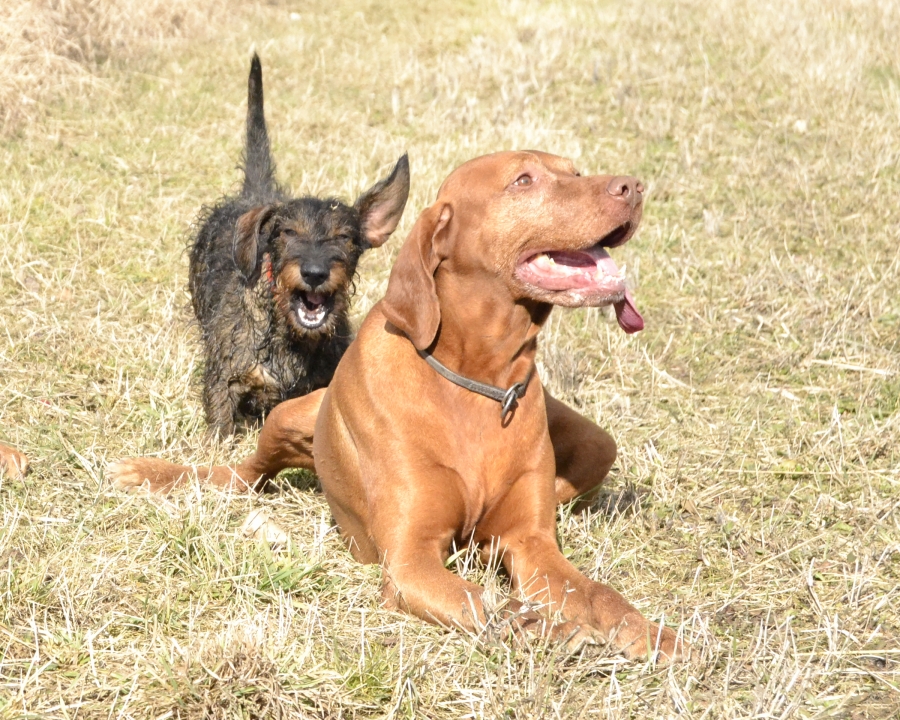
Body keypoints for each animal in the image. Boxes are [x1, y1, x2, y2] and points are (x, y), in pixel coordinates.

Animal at [110, 151, 686, 663]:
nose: (633, 186)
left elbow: (597, 592)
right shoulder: (410, 562)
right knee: (241, 476)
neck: (478, 383)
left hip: (598, 442)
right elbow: (479, 599)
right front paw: (536, 624)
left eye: (576, 171)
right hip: (283, 417)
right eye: (523, 180)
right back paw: (154, 473)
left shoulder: (533, 542)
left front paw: (648, 631)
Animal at [189, 53, 410, 436]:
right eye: (287, 232)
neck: (289, 336)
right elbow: (219, 426)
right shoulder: (223, 381)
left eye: (345, 237)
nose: (315, 273)